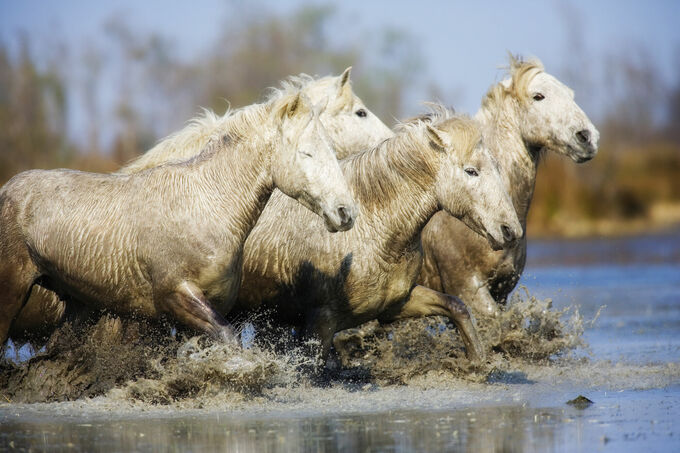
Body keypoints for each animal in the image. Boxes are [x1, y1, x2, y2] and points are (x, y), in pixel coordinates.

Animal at [232, 109, 522, 363]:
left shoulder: (395, 305)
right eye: (471, 171)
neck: (372, 233)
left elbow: (457, 307)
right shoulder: (321, 322)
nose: (511, 230)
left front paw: (477, 361)